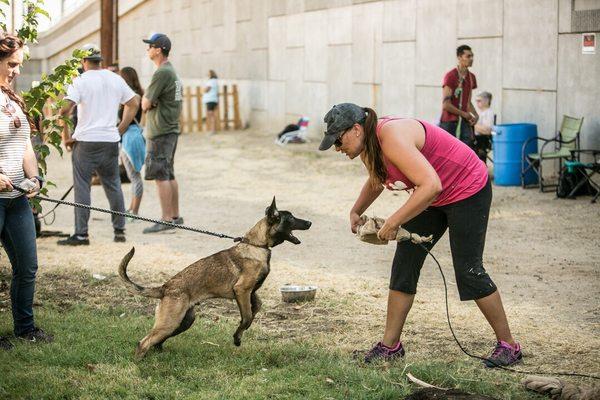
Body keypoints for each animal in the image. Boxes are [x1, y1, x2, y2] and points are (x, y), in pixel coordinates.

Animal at [119, 198, 312, 358]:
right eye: (291, 218)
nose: (310, 222)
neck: (257, 245)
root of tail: (165, 287)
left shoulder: (251, 292)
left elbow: (255, 308)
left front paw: (240, 333)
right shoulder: (242, 290)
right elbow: (247, 316)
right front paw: (237, 337)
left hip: (184, 321)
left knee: (155, 341)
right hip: (170, 322)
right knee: (143, 343)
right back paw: (139, 365)